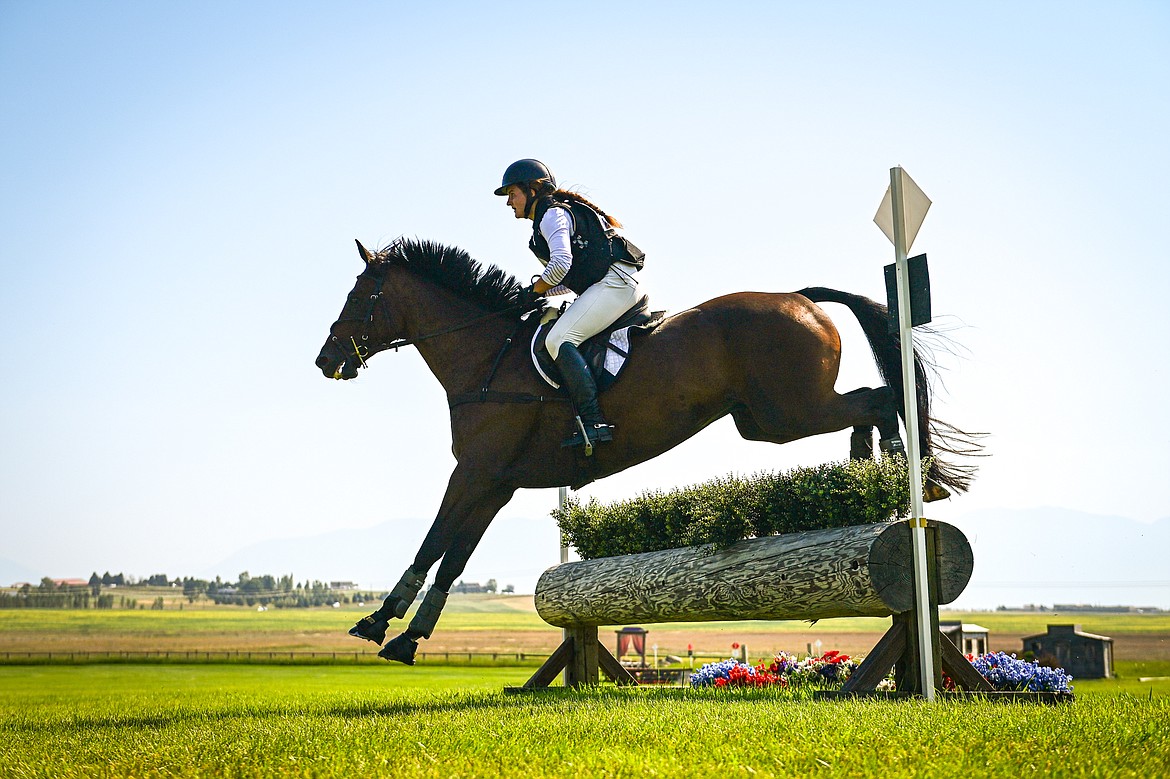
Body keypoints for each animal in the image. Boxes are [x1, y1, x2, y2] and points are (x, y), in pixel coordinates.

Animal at [315, 236, 982, 659]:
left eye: (359, 298)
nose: (326, 361)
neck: (485, 358)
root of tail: (798, 297)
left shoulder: (477, 473)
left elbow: (434, 544)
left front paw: (380, 624)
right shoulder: (495, 481)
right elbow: (452, 557)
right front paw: (405, 636)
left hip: (785, 411)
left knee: (879, 397)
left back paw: (887, 468)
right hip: (763, 420)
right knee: (874, 400)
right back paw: (871, 468)